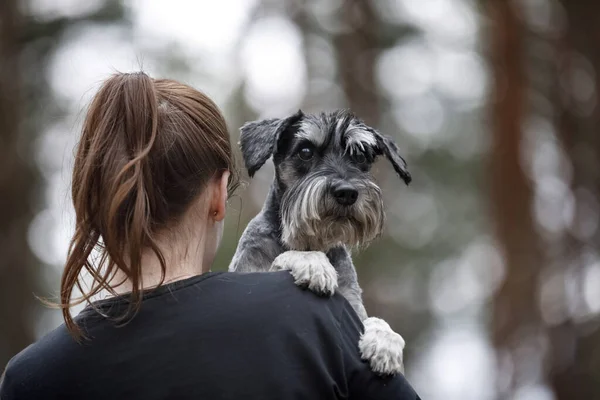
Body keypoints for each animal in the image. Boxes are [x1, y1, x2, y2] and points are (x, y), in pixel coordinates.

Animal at [227, 109, 410, 376]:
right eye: (305, 151)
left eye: (360, 155)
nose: (347, 192)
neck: (311, 239)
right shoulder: (248, 276)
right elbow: (286, 258)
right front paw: (315, 265)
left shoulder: (353, 305)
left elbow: (375, 320)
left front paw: (385, 343)